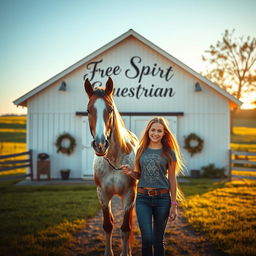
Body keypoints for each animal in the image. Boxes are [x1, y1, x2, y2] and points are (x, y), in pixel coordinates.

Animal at [84, 77, 138, 256]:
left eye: (111, 109)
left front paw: (125, 252)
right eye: (88, 110)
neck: (114, 160)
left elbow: (126, 228)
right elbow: (108, 225)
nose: (100, 145)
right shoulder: (102, 194)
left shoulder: (129, 194)